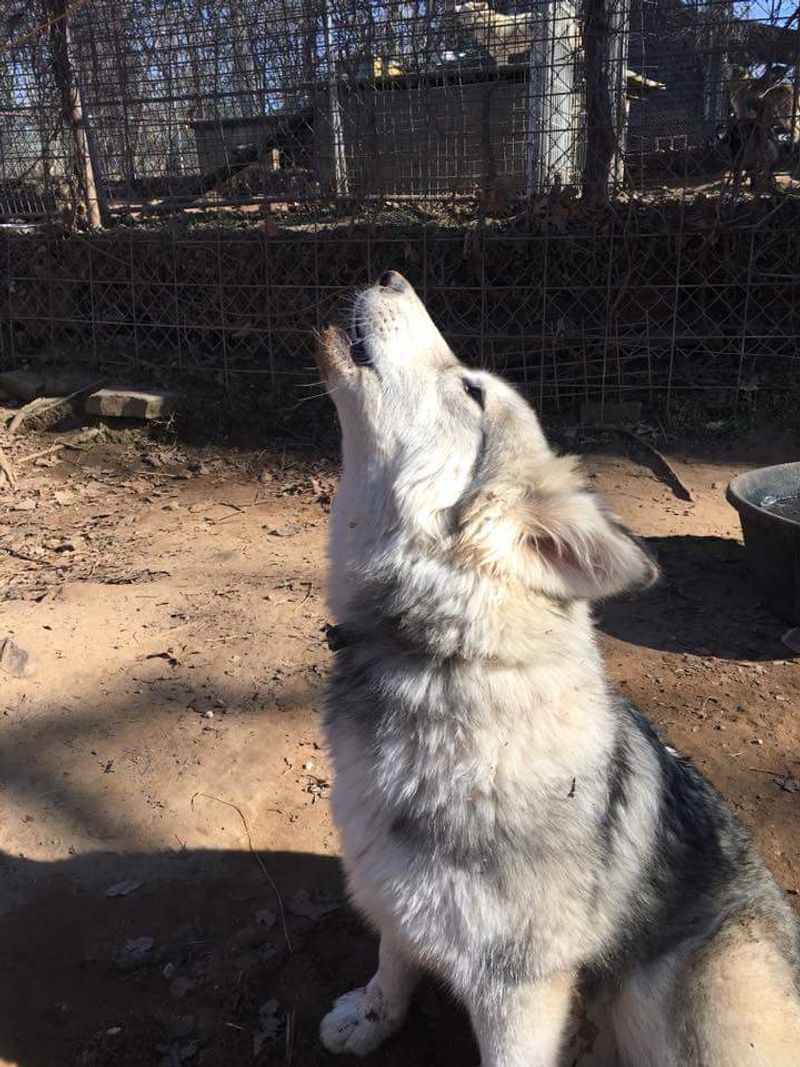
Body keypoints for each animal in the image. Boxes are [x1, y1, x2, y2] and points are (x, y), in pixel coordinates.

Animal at [315, 270, 800, 1066]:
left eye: (471, 390)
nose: (391, 275)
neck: (445, 659)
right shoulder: (390, 880)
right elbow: (393, 954)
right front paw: (373, 1015)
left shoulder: (519, 992)